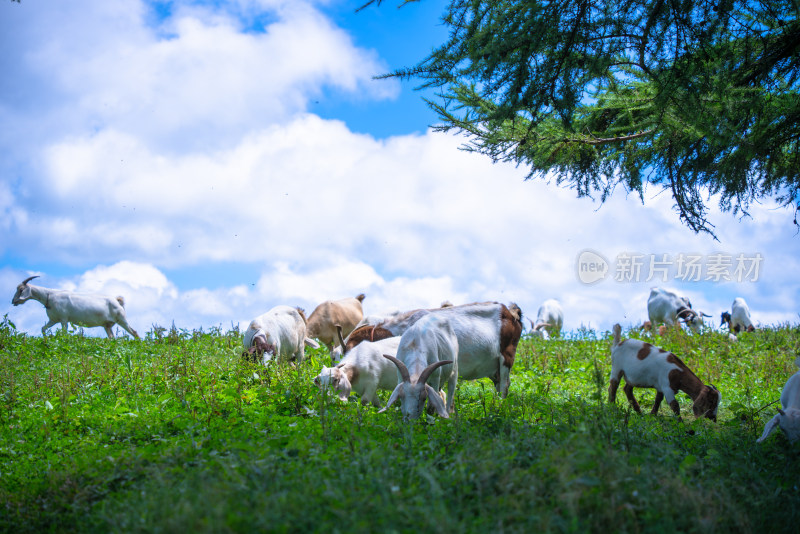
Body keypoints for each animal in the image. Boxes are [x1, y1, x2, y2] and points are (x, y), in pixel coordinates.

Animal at [11, 276, 139, 340]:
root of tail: (117, 301)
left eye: (21, 289)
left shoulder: (63, 319)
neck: (50, 295)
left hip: (121, 319)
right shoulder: (53, 320)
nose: (13, 301)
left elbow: (64, 333)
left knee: (134, 332)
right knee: (112, 338)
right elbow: (43, 328)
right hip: (107, 325)